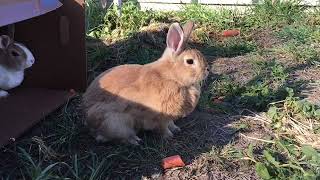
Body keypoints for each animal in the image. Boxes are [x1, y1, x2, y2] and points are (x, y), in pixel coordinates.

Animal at [82, 21, 210, 145]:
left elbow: (171, 123)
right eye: (190, 61)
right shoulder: (159, 117)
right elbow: (163, 128)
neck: (172, 77)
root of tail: (89, 122)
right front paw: (169, 136)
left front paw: (176, 129)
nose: (207, 70)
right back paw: (134, 140)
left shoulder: (169, 117)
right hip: (116, 124)